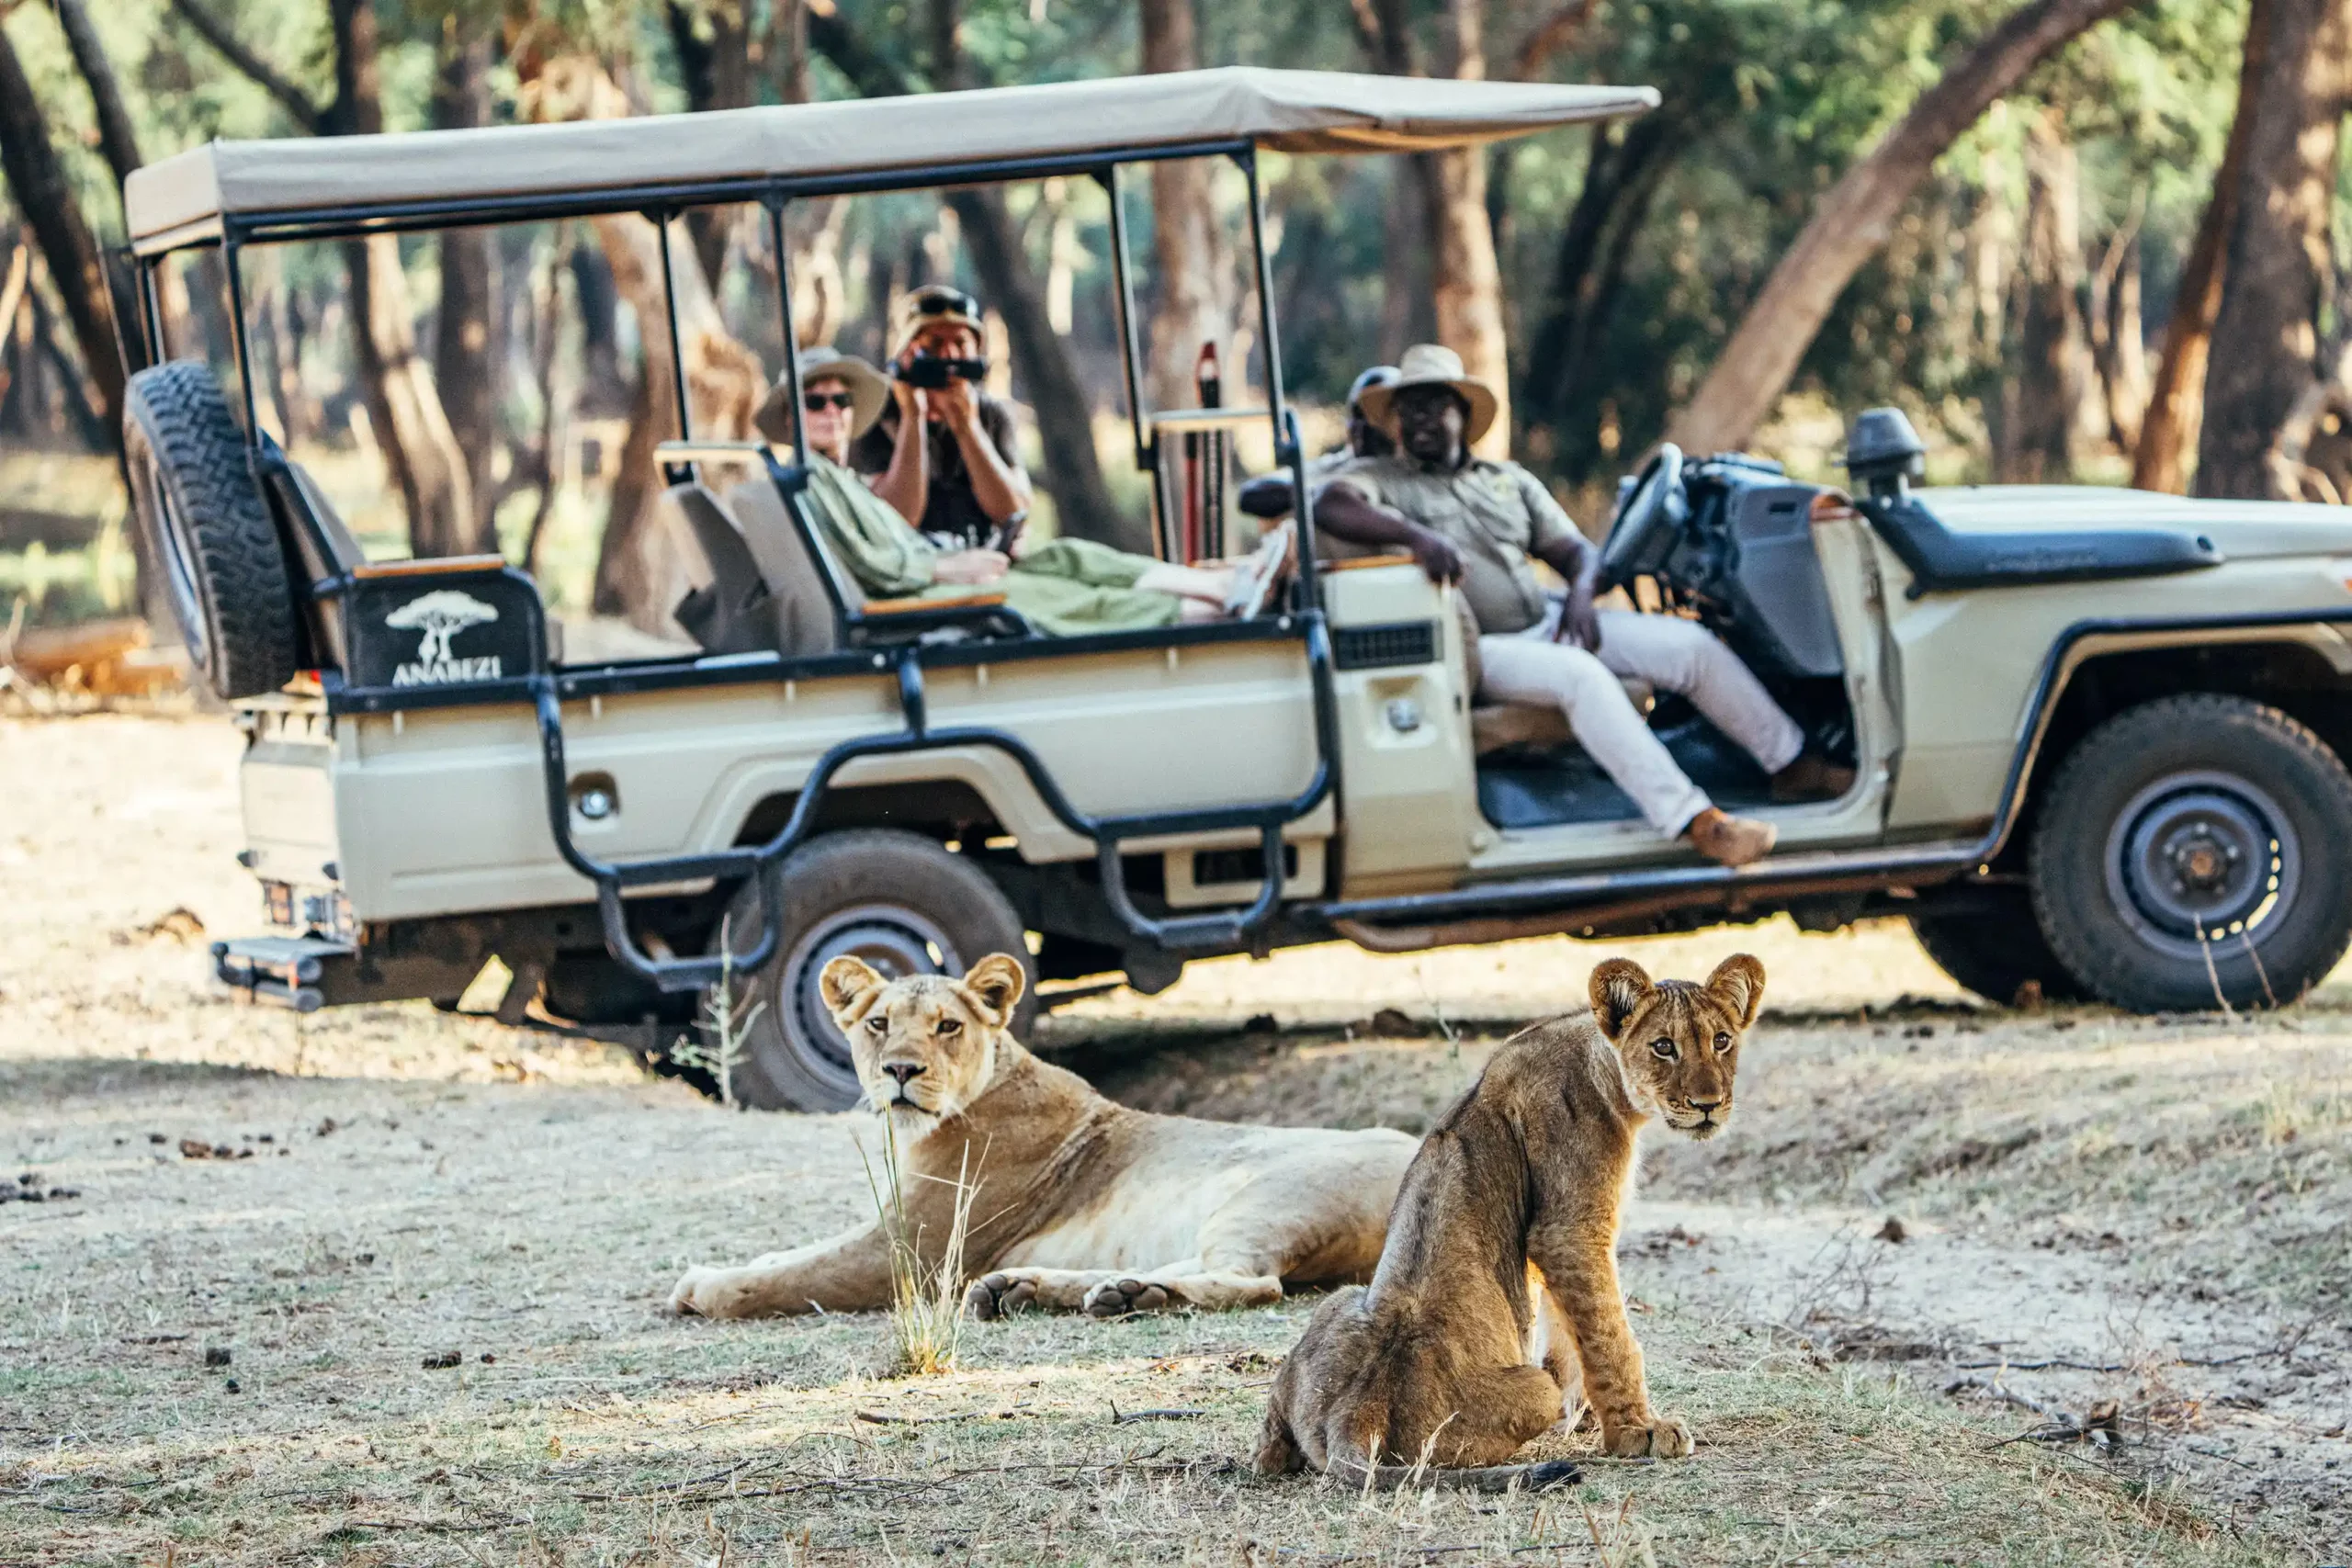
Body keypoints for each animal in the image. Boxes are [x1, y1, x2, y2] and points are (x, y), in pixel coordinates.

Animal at [666, 952, 1418, 1321]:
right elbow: (794, 1253)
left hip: (1269, 1195)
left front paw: (702, 1286)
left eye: (947, 1026)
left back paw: (1127, 1297)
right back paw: (1048, 1288)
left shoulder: (910, 1251)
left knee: (1253, 1282)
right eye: (878, 1023)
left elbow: (792, 1277)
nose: (900, 1071)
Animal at [1254, 953, 1764, 1489]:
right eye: (1664, 1047)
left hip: (1339, 1302)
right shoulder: (1570, 1228)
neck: (1604, 1068)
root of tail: (1353, 1418)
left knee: (1272, 1435)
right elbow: (1609, 1334)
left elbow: (1568, 1326)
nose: (1709, 1105)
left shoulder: (1555, 1241)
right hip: (1525, 1393)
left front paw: (1583, 1413)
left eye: (1721, 1040)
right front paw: (1638, 1432)